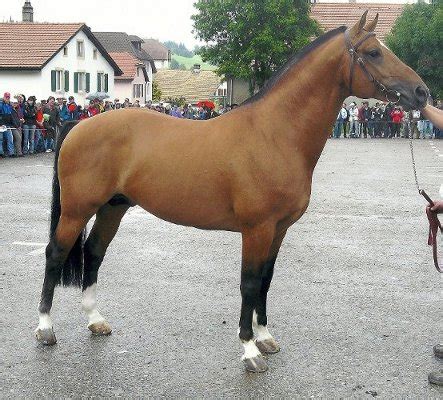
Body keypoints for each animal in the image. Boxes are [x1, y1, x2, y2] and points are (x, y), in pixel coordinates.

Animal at [35, 13, 430, 372]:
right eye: (374, 52)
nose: (422, 92)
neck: (275, 134)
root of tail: (79, 125)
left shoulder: (278, 229)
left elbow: (266, 281)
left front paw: (265, 337)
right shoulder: (257, 229)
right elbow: (249, 282)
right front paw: (250, 349)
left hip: (113, 207)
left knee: (93, 253)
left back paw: (95, 320)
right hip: (77, 209)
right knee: (56, 254)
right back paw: (45, 328)